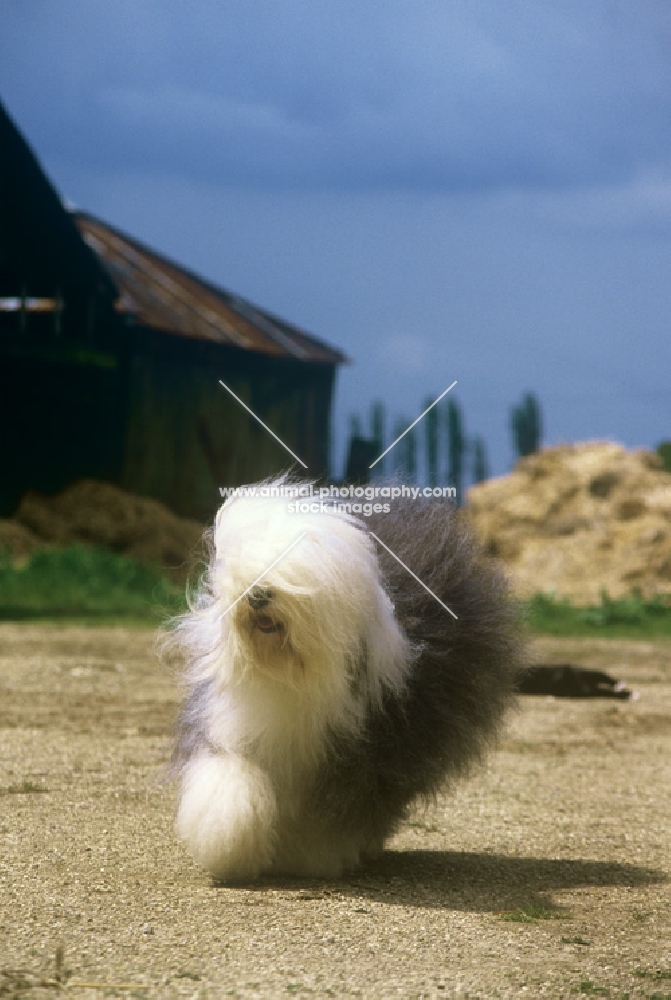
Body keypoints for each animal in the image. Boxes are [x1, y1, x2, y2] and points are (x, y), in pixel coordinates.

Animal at [169, 480, 524, 880]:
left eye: (297, 573)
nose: (258, 595)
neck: (289, 674)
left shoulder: (363, 756)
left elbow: (334, 815)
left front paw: (314, 856)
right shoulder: (229, 725)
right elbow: (233, 778)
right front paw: (229, 847)